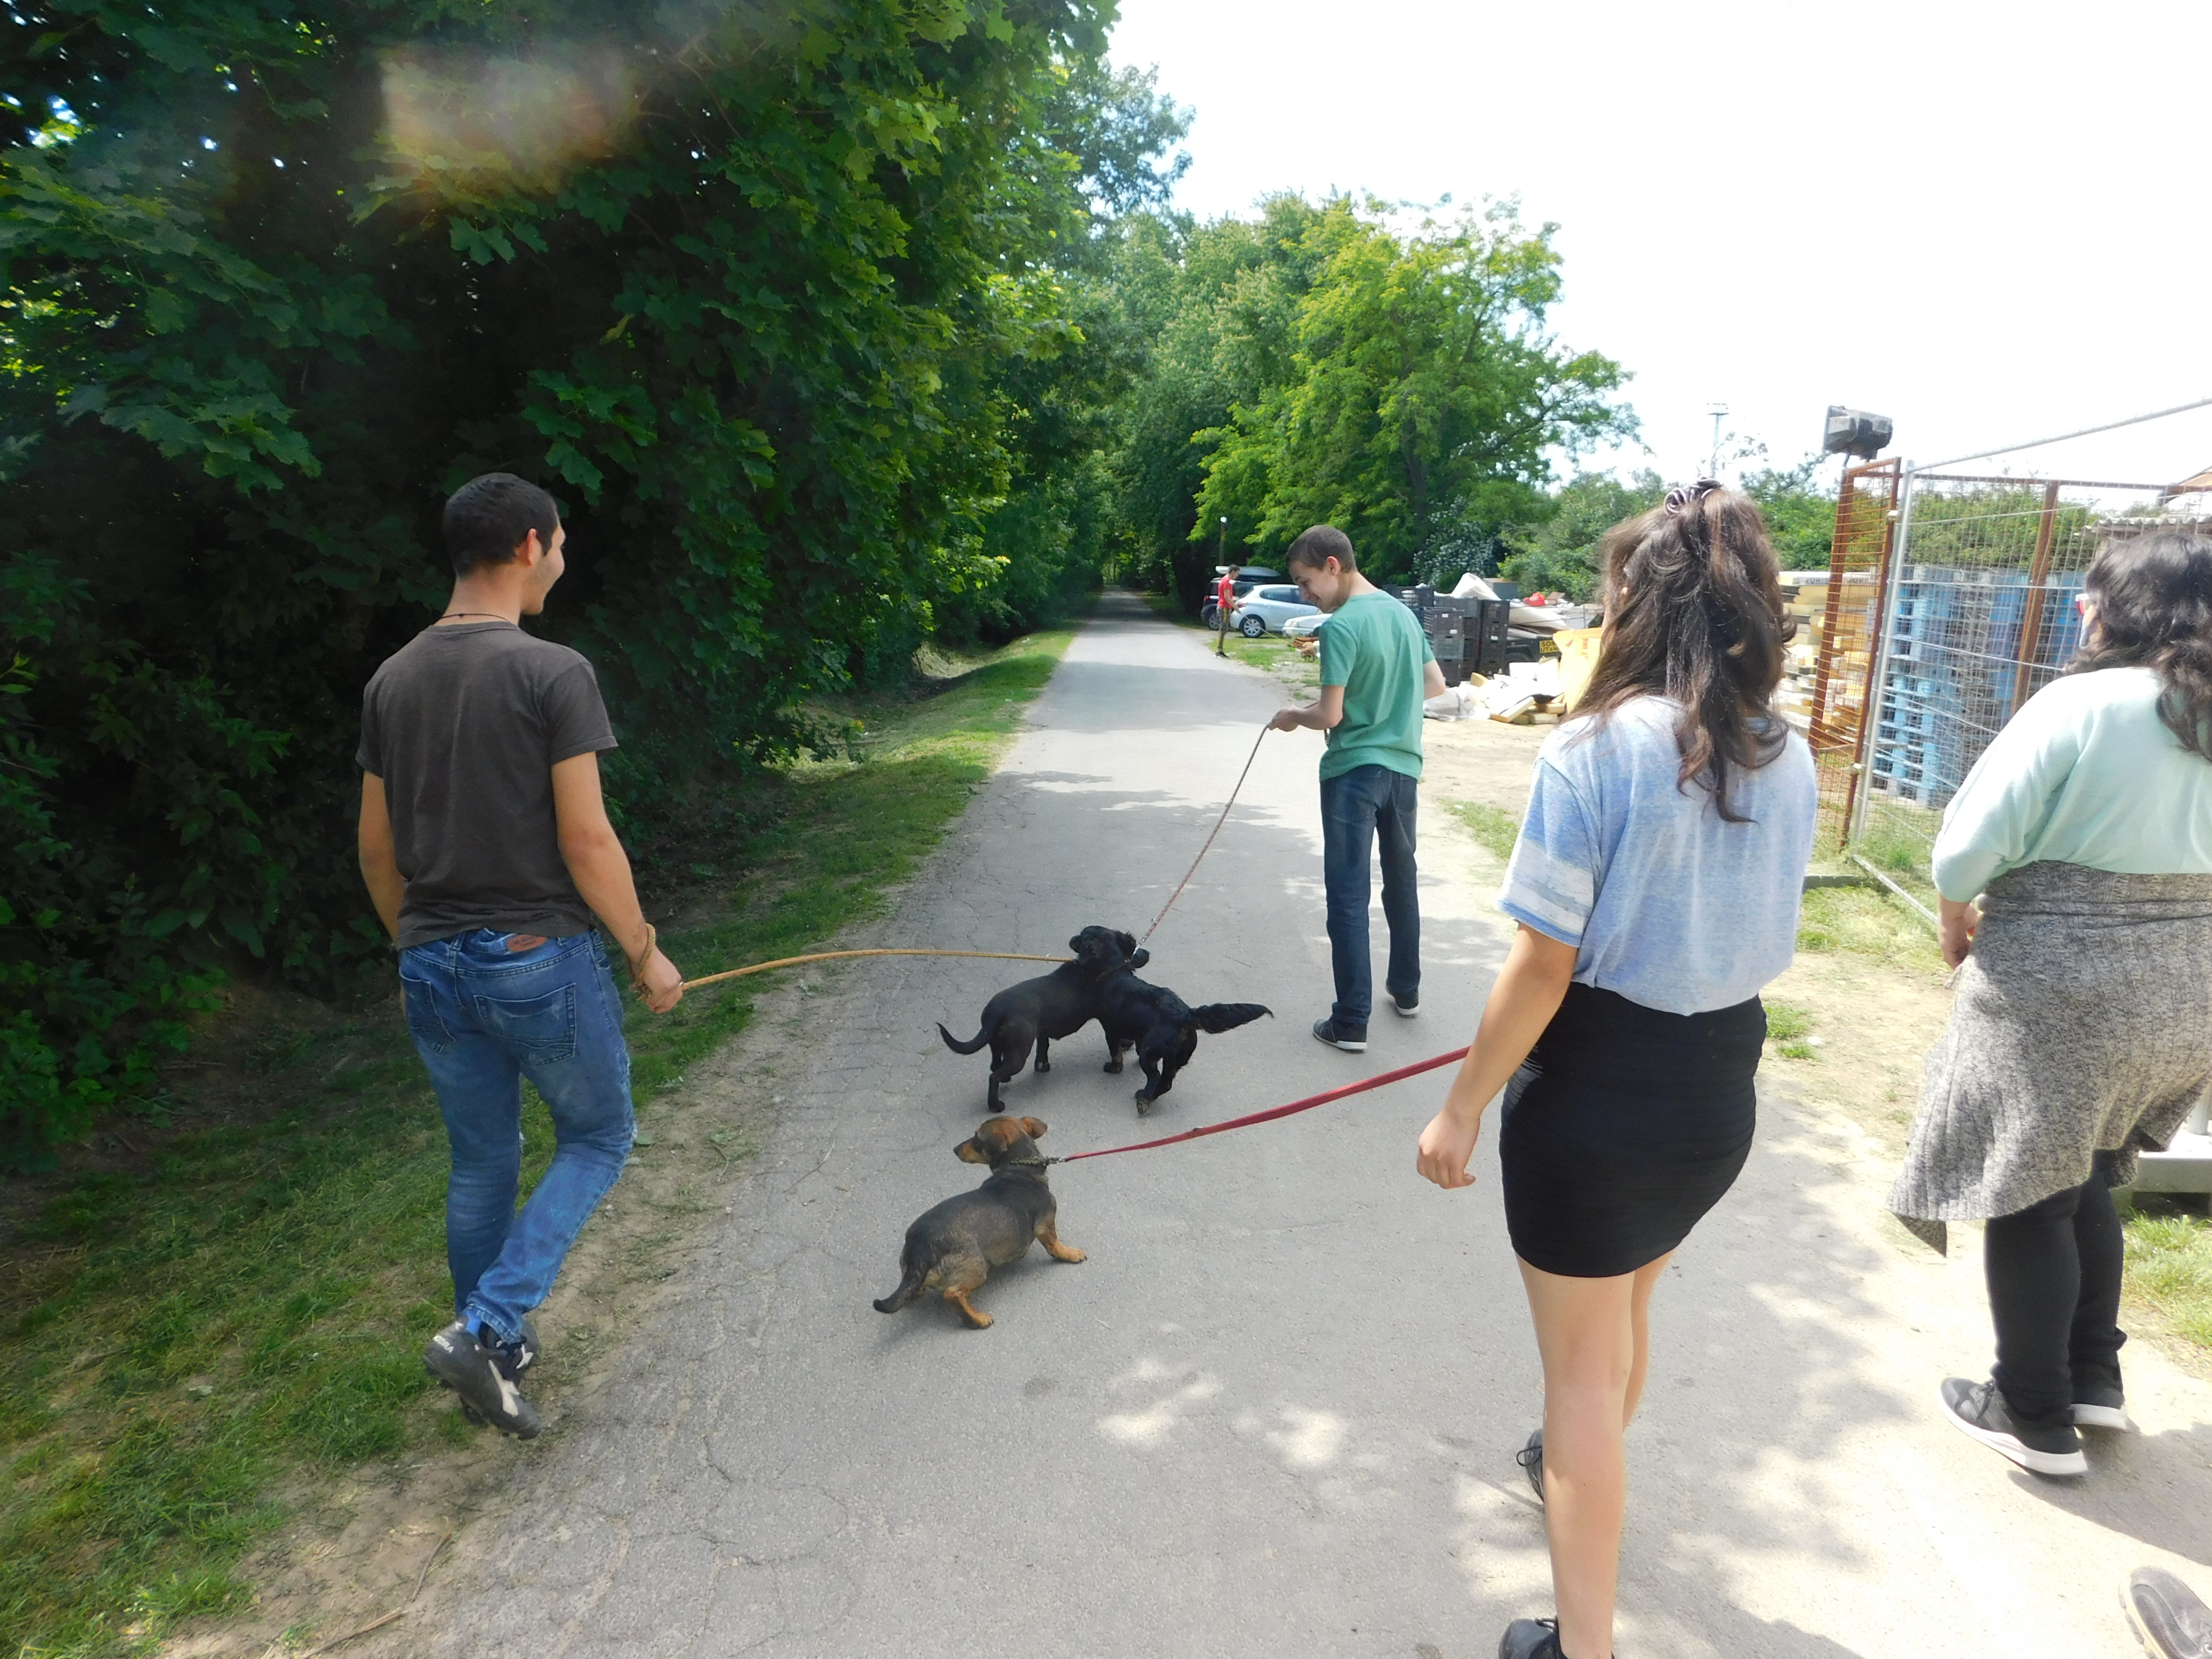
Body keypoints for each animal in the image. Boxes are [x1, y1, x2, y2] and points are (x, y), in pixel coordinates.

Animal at [872, 1117, 1084, 1328]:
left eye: (976, 1139)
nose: (955, 1149)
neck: (1019, 1169)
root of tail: (921, 1247)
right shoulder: (1045, 1226)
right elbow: (1055, 1245)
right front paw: (1071, 1254)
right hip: (978, 1268)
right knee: (952, 1294)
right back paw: (978, 1319)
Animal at [937, 925, 1147, 1112]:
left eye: (1082, 936)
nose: (1073, 938)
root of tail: (997, 1010)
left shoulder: (1043, 1034)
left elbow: (1043, 1050)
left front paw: (1043, 1066)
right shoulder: (1109, 1022)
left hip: (996, 1044)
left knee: (995, 1066)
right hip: (1019, 1053)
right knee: (993, 1077)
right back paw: (996, 1106)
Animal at [1095, 956, 1271, 1114]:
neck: (1117, 973)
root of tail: (1185, 1016)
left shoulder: (1111, 1030)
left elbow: (1115, 1051)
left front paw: (1113, 1067)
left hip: (1152, 1054)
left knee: (1155, 1077)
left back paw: (1144, 1100)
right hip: (1174, 1058)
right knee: (1165, 1083)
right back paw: (1149, 1097)